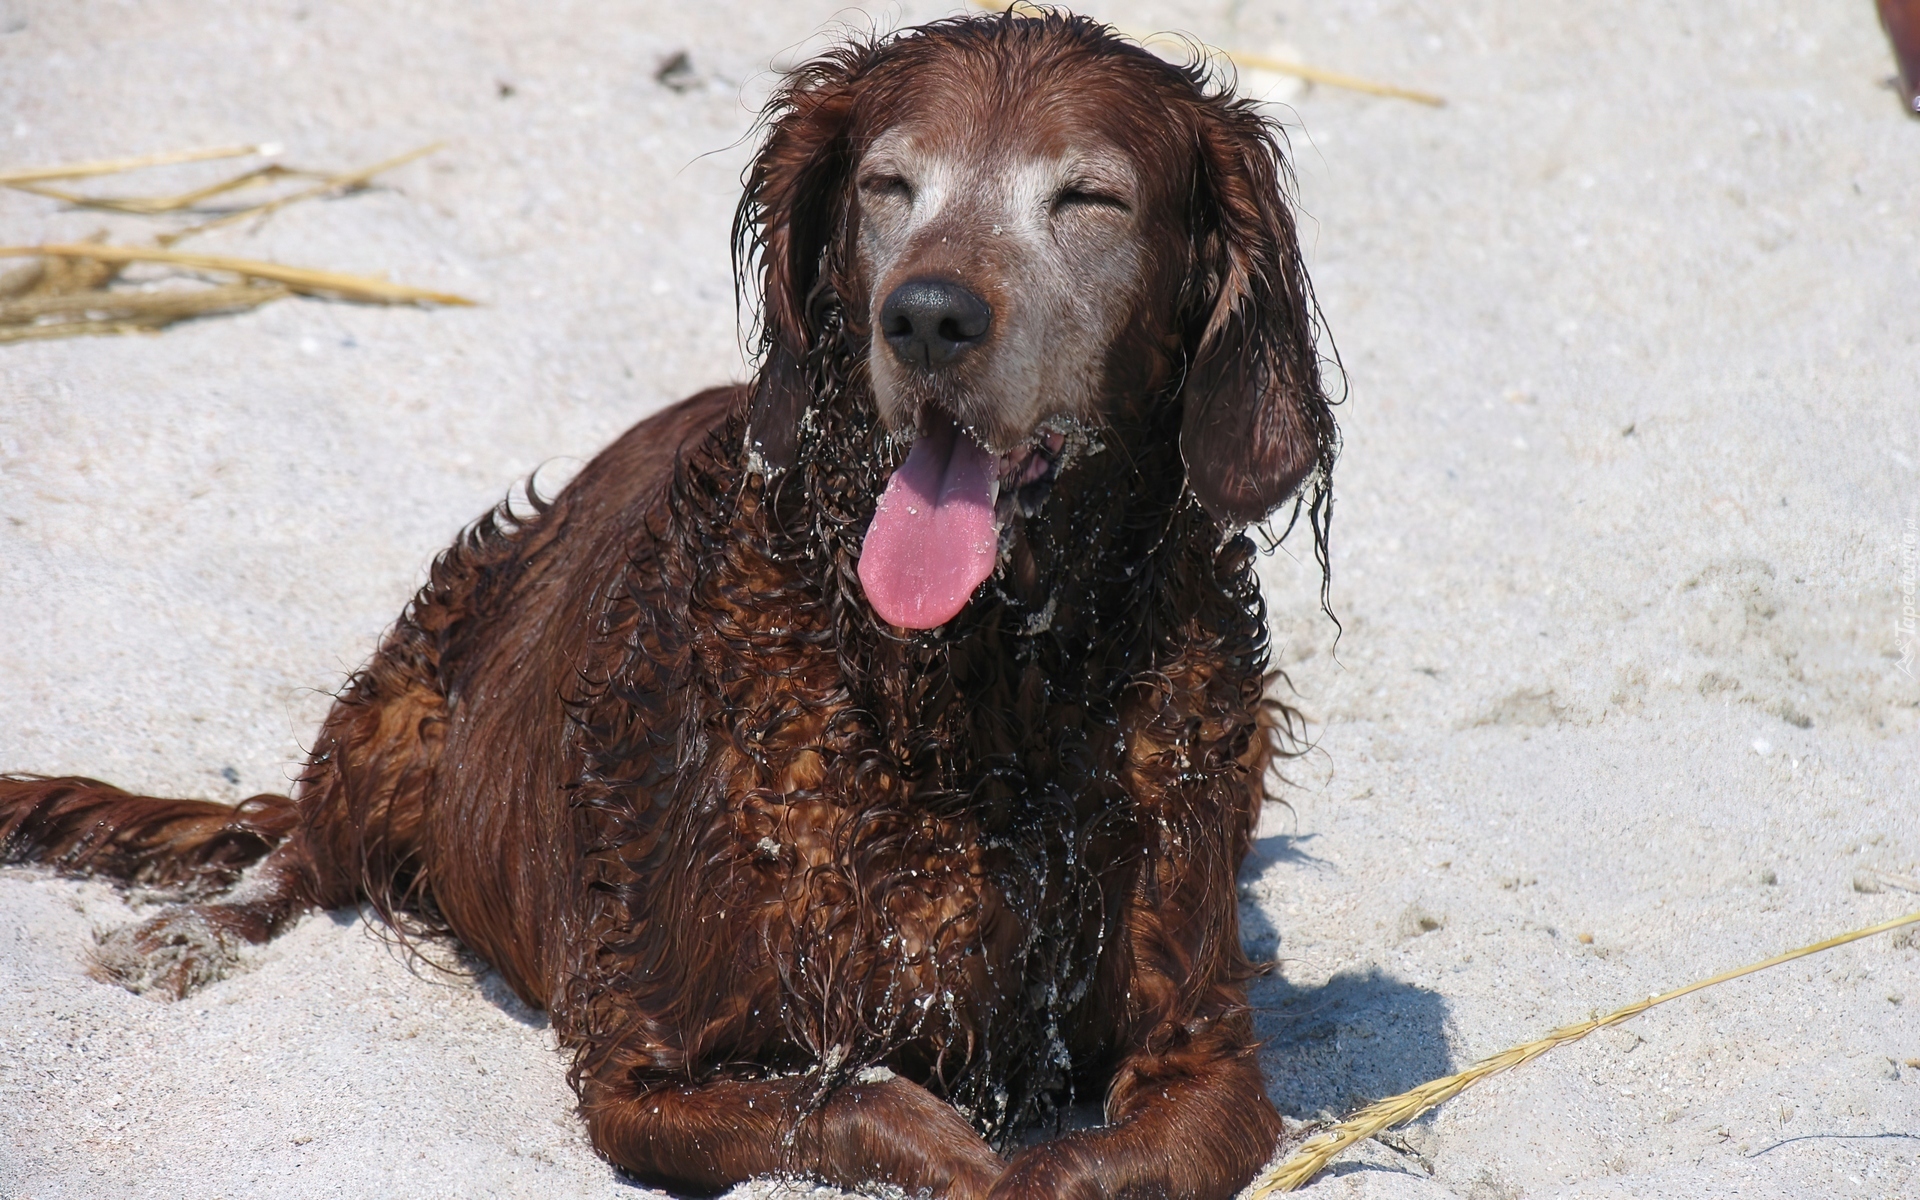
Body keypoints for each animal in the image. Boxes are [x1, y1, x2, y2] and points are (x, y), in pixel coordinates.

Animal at [3, 11, 1336, 1198]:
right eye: (889, 185)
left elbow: (1093, 1157)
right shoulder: (640, 1067)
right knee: (299, 855)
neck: (964, 691)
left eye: (1091, 201)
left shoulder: (1208, 1052)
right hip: (400, 709)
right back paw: (189, 938)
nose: (926, 315)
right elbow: (861, 1106)